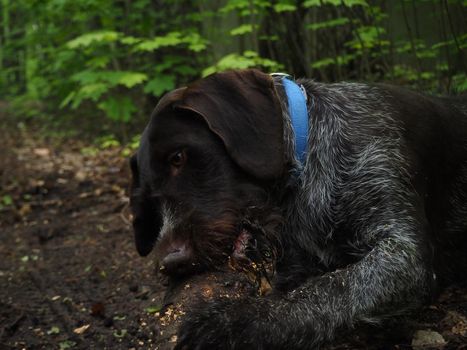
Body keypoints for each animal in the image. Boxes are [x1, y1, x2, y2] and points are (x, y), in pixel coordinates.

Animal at [130, 69, 467, 348]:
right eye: (150, 198)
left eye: (177, 157)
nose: (171, 262)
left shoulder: (404, 255)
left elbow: (329, 288)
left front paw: (234, 324)